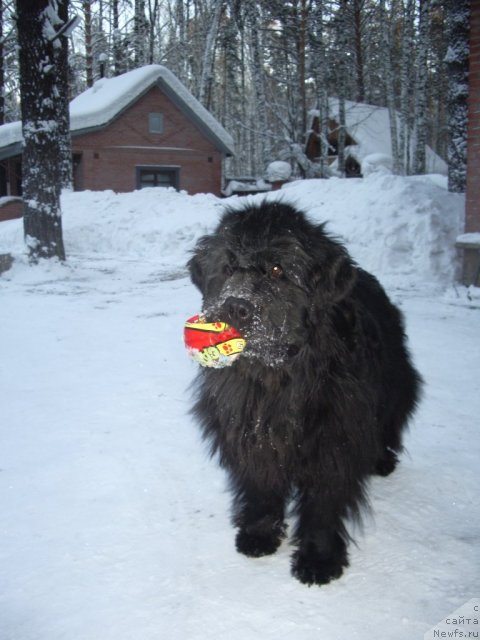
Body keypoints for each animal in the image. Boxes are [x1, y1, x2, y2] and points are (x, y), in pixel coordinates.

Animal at [188, 202, 420, 588]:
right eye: (229, 267)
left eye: (278, 268)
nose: (236, 306)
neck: (278, 377)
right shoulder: (250, 432)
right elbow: (261, 485)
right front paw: (259, 533)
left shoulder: (334, 439)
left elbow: (323, 503)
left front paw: (319, 559)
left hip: (397, 382)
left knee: (390, 421)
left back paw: (381, 459)